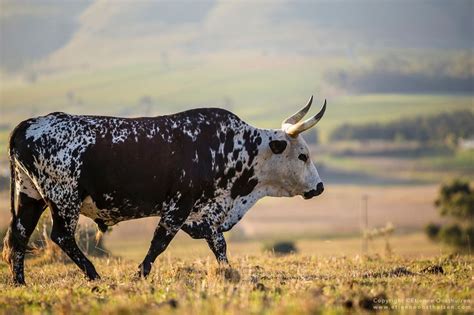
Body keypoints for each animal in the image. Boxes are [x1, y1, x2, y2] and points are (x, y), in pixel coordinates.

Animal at [2, 95, 326, 286]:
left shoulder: (202, 214)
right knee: (60, 236)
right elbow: (160, 243)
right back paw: (94, 275)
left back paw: (20, 282)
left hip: (30, 195)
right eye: (302, 155)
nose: (320, 187)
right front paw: (140, 274)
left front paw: (228, 272)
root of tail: (28, 125)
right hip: (63, 198)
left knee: (19, 235)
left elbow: (218, 244)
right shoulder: (179, 205)